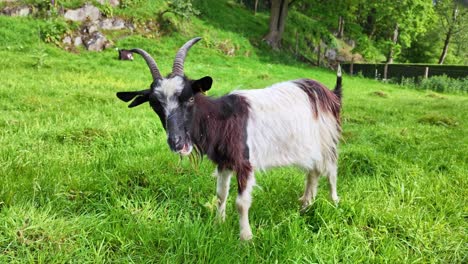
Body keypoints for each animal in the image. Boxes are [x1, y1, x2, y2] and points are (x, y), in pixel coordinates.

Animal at [116, 37, 344, 241]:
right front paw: (219, 224)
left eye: (190, 98)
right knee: (313, 172)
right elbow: (221, 194)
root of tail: (331, 93)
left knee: (331, 170)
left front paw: (246, 238)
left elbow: (241, 203)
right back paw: (306, 204)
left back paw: (334, 201)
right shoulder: (224, 161)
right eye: (154, 104)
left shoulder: (244, 162)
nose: (176, 142)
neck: (221, 119)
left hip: (328, 139)